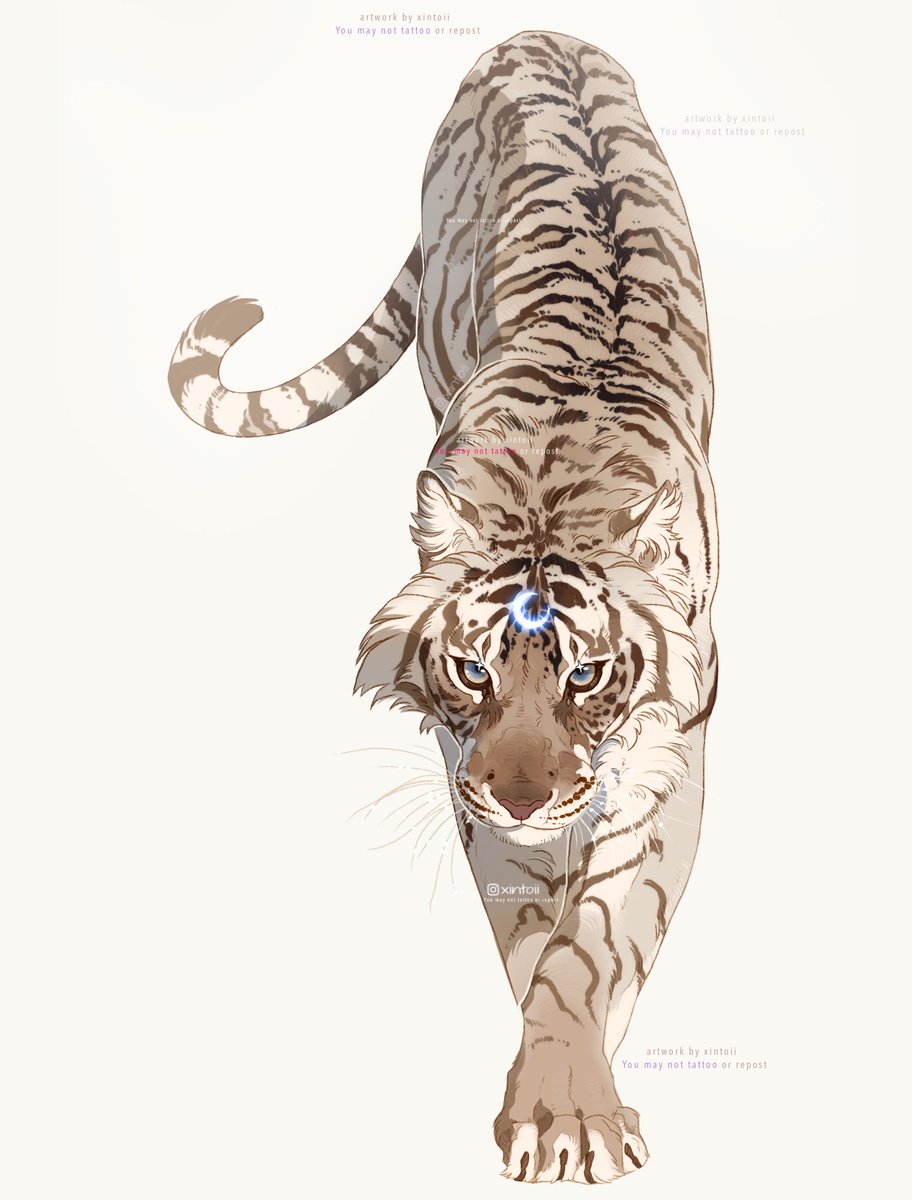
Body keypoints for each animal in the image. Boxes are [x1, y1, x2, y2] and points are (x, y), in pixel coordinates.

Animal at [168, 29, 718, 1185]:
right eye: (473, 670)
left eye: (588, 674)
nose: (519, 797)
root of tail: (534, 33)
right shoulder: (470, 777)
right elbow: (533, 942)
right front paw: (560, 1102)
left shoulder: (666, 761)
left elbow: (594, 941)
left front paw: (576, 1110)